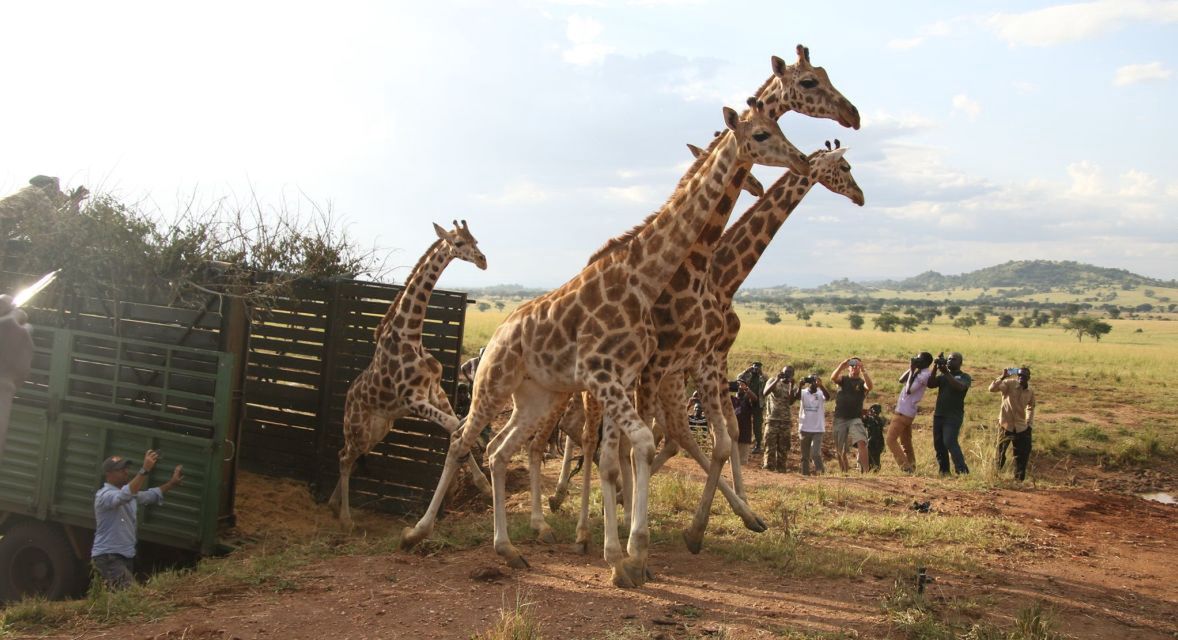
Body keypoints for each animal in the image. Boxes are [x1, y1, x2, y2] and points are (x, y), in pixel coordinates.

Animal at [327, 219, 487, 525]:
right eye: (459, 243)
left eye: (476, 240)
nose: (483, 260)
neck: (410, 335)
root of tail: (348, 400)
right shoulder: (413, 399)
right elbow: (454, 425)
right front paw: (479, 478)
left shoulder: (435, 392)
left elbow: (456, 424)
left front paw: (482, 482)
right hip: (359, 428)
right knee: (343, 457)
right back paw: (346, 518)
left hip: (378, 429)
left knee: (347, 456)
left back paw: (333, 505)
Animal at [400, 101, 805, 591]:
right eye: (762, 134)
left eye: (780, 126)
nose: (801, 160)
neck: (642, 279)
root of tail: (496, 334)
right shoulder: (604, 376)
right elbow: (638, 446)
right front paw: (631, 554)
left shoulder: (621, 377)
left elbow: (622, 454)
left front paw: (624, 555)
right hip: (493, 384)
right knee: (463, 439)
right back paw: (417, 532)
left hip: (537, 396)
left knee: (498, 450)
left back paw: (509, 549)